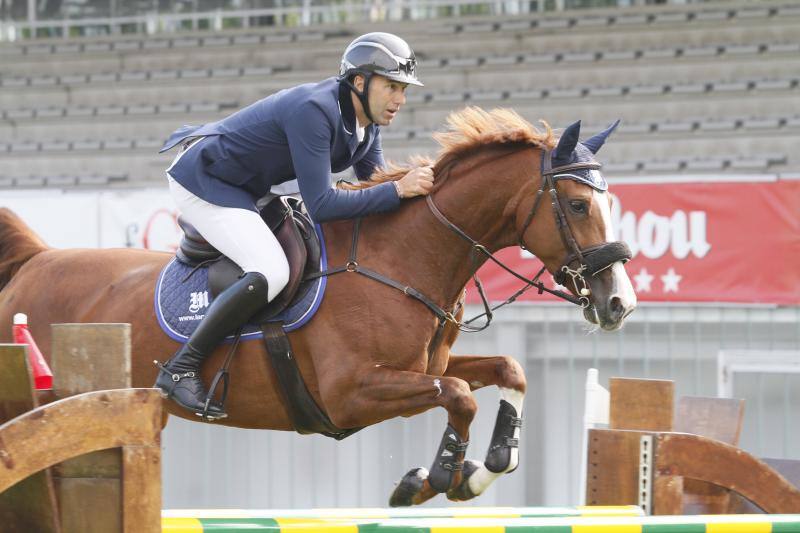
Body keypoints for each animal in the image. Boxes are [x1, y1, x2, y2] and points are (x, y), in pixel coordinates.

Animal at [0, 108, 636, 502]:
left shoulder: (419, 368)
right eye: (578, 205)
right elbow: (459, 395)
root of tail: (34, 261)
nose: (619, 304)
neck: (404, 256)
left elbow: (508, 370)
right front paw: (434, 476)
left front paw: (484, 467)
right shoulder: (350, 393)